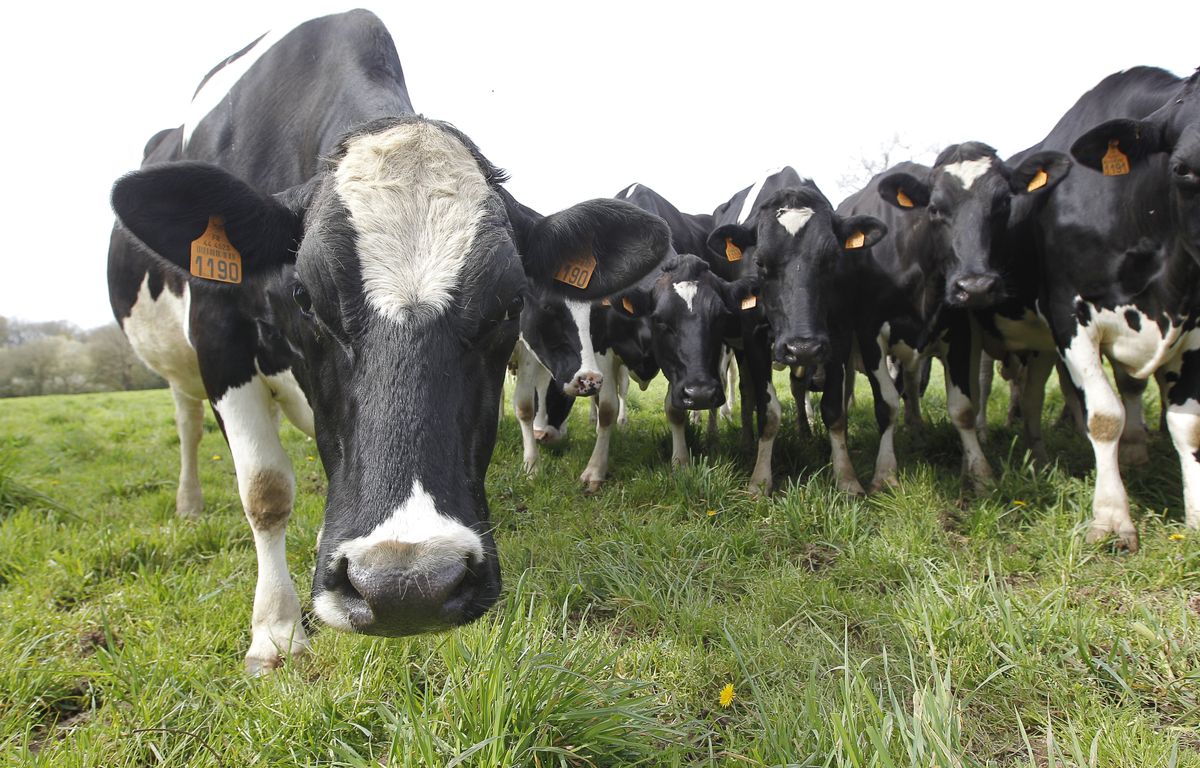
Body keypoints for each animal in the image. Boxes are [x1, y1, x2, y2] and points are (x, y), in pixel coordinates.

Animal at [108, 10, 669, 672]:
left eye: (511, 302)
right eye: (304, 296)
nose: (407, 587)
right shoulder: (220, 337)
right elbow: (265, 490)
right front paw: (275, 630)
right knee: (188, 423)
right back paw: (190, 503)